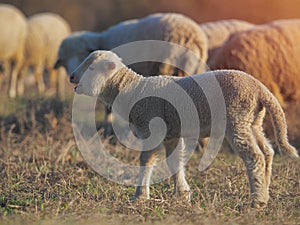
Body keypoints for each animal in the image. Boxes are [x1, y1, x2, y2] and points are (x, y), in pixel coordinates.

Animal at [70, 50, 298, 209]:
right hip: (253, 121)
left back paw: (256, 201)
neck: (133, 90)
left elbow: (146, 161)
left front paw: (140, 196)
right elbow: (174, 162)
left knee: (254, 156)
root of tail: (260, 89)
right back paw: (264, 193)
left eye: (91, 68)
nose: (72, 77)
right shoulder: (170, 133)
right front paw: (182, 194)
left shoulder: (151, 128)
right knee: (267, 152)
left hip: (237, 119)